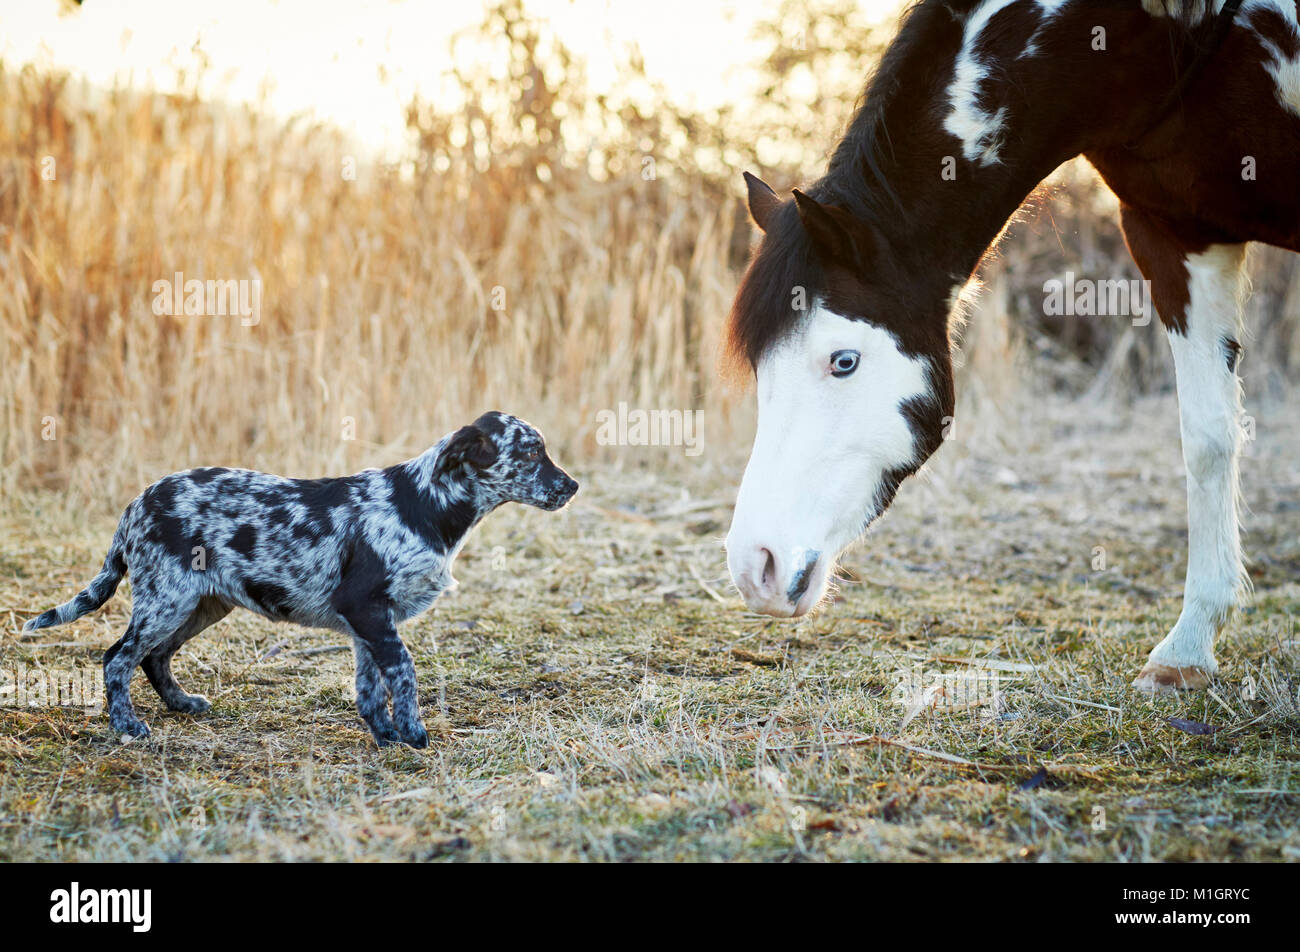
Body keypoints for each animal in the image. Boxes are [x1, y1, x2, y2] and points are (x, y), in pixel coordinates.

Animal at [19, 413, 579, 749]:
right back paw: (128, 726)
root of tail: (136, 504)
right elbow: (403, 673)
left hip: (201, 604)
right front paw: (414, 734)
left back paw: (182, 704)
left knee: (154, 657)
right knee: (118, 657)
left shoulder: (368, 623)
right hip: (167, 599)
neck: (423, 503)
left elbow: (370, 686)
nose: (572, 486)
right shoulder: (369, 611)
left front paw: (385, 735)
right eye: (531, 453)